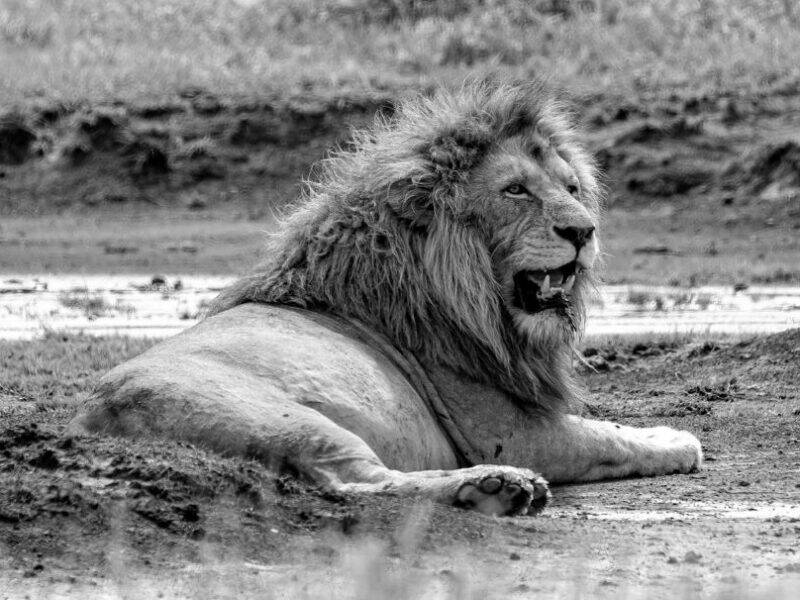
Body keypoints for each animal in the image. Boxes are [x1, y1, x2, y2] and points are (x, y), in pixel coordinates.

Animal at [70, 80, 702, 516]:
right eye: (516, 191)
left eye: (571, 188)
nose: (583, 230)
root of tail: (91, 417)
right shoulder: (516, 431)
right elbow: (612, 437)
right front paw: (676, 438)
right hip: (282, 418)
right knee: (356, 483)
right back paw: (496, 486)